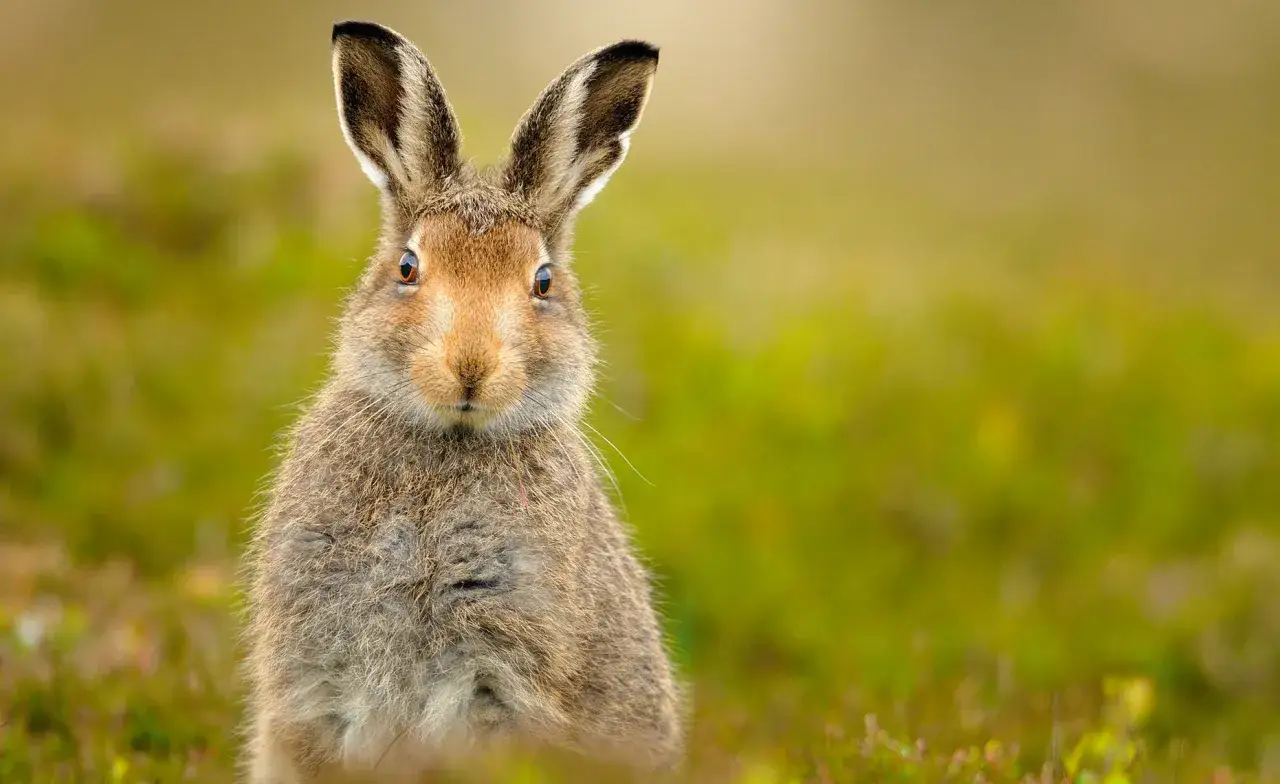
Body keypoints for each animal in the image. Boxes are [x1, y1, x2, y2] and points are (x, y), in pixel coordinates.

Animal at [241, 20, 682, 783]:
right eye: (407, 268)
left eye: (542, 282)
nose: (470, 366)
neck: (447, 444)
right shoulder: (314, 670)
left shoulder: (496, 676)